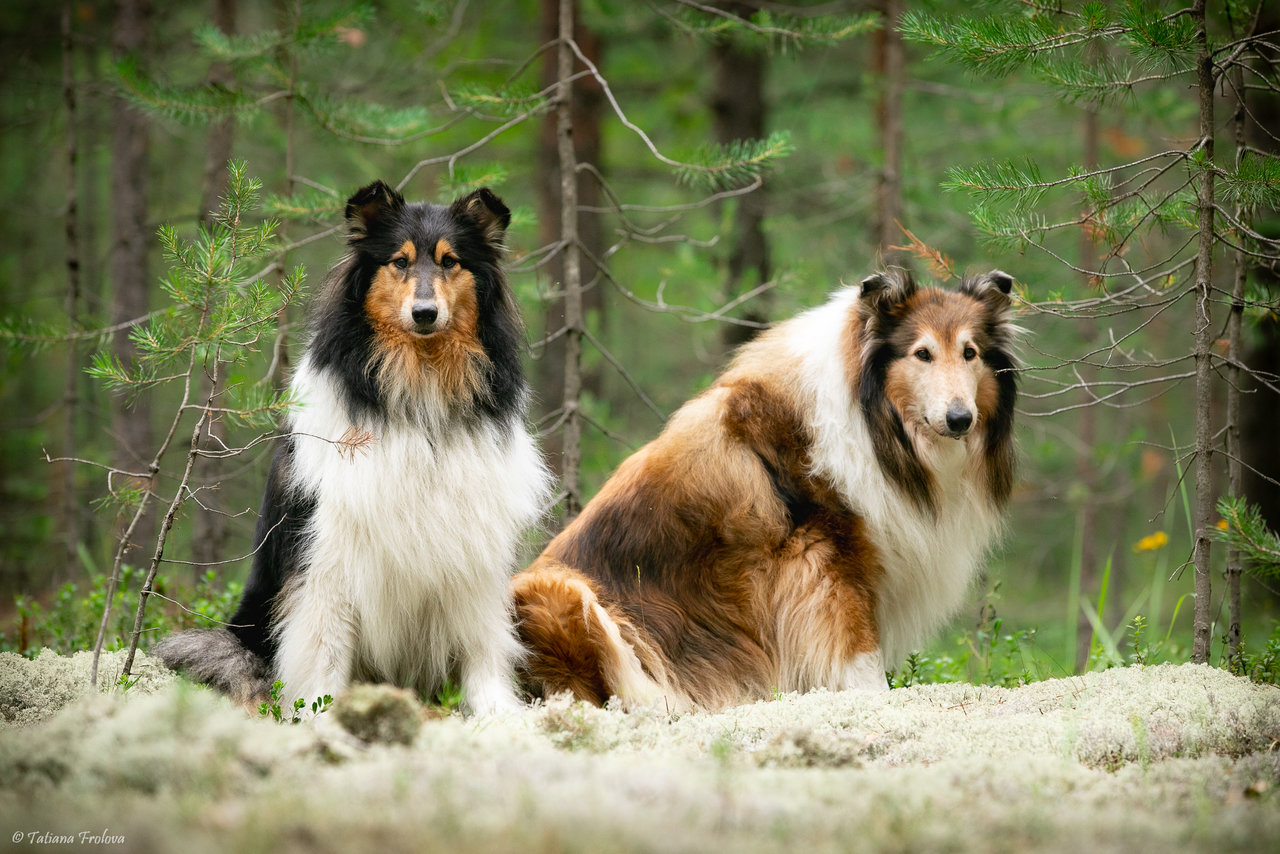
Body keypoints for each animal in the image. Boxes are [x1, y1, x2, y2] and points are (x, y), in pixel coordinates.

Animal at [509, 270, 1018, 711]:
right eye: (922, 353)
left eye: (970, 352)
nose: (960, 419)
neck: (871, 417)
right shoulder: (827, 555)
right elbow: (859, 652)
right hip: (559, 593)